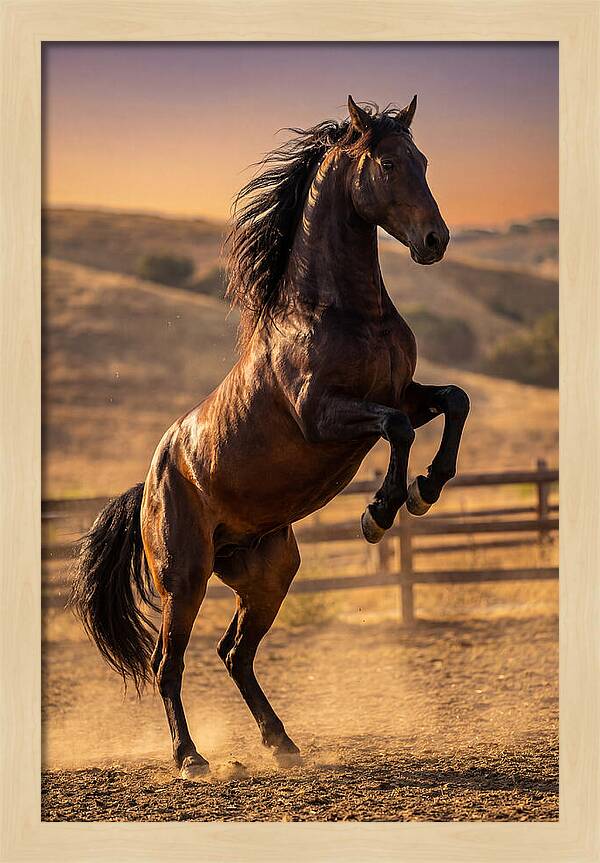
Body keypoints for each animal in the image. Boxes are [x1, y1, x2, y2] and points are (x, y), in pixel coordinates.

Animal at [70, 95, 470, 780]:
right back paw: (190, 758)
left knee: (235, 653)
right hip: (186, 578)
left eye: (423, 160)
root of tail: (149, 484)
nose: (435, 241)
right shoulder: (323, 415)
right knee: (169, 664)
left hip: (268, 571)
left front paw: (427, 488)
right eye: (389, 163)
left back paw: (281, 743)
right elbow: (394, 431)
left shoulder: (403, 394)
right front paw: (379, 512)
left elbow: (453, 402)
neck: (339, 312)